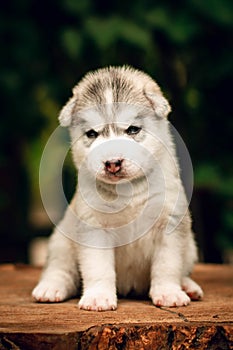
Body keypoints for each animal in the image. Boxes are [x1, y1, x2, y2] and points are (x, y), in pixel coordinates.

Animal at [31, 67, 203, 310]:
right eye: (92, 134)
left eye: (132, 129)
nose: (112, 163)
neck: (127, 192)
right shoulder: (94, 229)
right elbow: (99, 268)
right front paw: (98, 297)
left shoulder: (169, 226)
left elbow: (167, 266)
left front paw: (169, 293)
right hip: (62, 240)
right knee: (60, 269)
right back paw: (50, 288)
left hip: (190, 247)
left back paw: (188, 286)